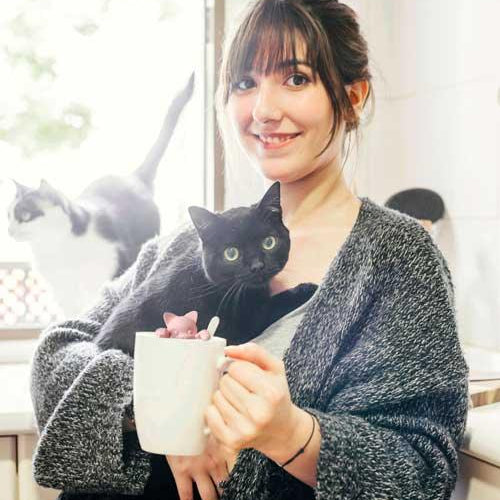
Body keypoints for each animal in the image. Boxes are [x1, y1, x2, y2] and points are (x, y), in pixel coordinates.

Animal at [8, 73, 195, 316]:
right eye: (8, 216)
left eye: (25, 215)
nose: (9, 230)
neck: (55, 249)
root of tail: (133, 177)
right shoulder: (64, 294)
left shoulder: (108, 270)